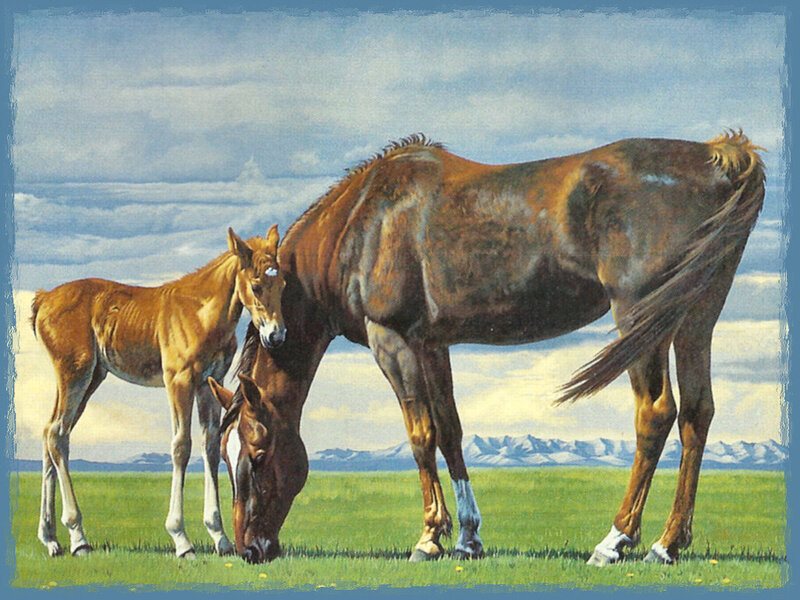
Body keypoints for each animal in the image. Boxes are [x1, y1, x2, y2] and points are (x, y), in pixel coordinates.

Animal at [30, 225, 287, 558]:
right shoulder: (178, 381)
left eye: (282, 284)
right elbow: (181, 446)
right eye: (256, 286)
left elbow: (210, 445)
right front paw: (181, 539)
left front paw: (220, 538)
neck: (200, 312)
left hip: (89, 379)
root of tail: (43, 299)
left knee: (51, 432)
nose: (276, 336)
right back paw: (78, 538)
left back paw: (51, 539)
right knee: (57, 434)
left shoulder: (208, 383)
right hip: (75, 374)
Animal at [208, 131, 765, 565]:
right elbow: (450, 432)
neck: (363, 225)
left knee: (656, 413)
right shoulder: (432, 344)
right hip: (695, 317)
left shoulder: (391, 341)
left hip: (639, 318)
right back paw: (668, 543)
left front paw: (429, 538)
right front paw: (467, 537)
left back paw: (615, 540)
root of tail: (718, 156)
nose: (250, 549)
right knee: (696, 413)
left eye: (257, 453)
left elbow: (420, 434)